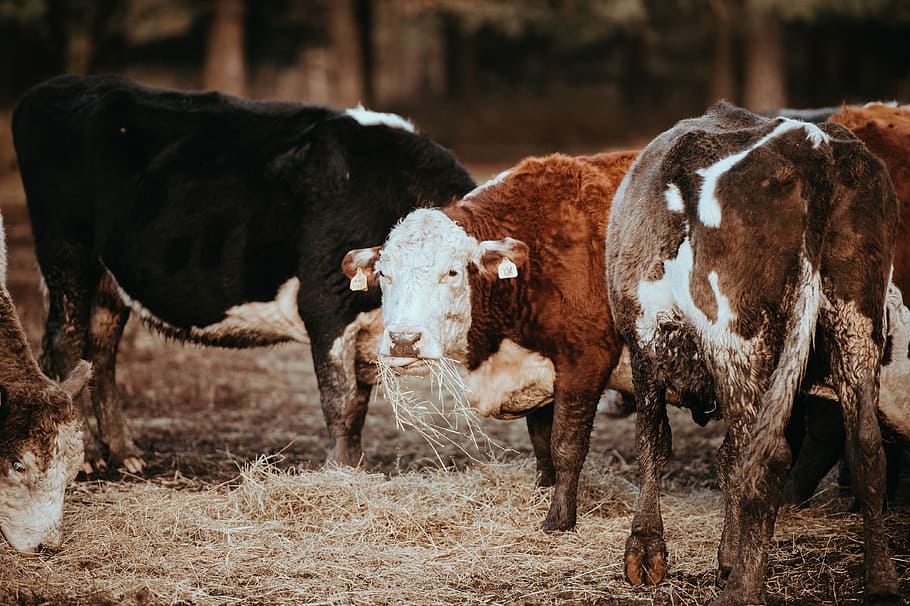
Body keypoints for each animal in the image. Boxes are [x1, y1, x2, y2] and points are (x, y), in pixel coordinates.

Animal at [12, 74, 475, 474]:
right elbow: (341, 402)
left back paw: (125, 453)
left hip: (110, 276)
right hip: (67, 252)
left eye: (453, 273)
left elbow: (358, 402)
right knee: (65, 341)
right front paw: (343, 471)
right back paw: (87, 457)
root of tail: (53, 87)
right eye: (388, 273)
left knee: (101, 351)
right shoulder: (326, 304)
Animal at [343, 151, 638, 531]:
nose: (404, 339)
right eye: (383, 273)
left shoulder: (585, 361)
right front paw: (543, 492)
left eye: (453, 272)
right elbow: (543, 444)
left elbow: (566, 445)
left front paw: (559, 519)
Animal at [605, 101, 901, 604]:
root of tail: (811, 145)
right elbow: (725, 458)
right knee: (865, 449)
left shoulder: (644, 343)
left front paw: (646, 548)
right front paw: (727, 555)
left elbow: (654, 442)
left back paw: (742, 590)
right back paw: (880, 583)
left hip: (736, 336)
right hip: (857, 322)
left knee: (768, 457)